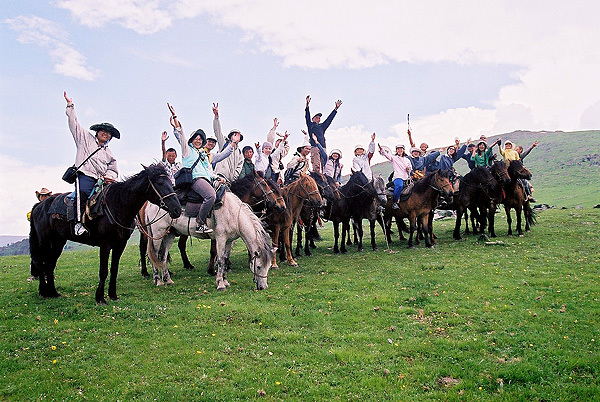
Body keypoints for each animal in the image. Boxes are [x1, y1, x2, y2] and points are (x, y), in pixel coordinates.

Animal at [30, 165, 180, 304]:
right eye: (160, 183)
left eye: (170, 182)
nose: (177, 210)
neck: (118, 205)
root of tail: (39, 206)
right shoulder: (105, 245)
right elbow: (103, 271)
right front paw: (100, 298)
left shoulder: (120, 245)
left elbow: (114, 269)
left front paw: (113, 295)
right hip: (44, 242)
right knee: (41, 263)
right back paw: (43, 292)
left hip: (58, 242)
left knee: (50, 264)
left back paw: (53, 292)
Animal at [144, 190, 276, 290]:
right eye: (258, 266)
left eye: (268, 267)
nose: (263, 287)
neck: (233, 213)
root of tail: (149, 204)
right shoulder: (221, 238)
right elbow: (221, 260)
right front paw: (220, 284)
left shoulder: (229, 240)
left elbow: (226, 259)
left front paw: (225, 281)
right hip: (158, 234)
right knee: (154, 255)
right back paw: (158, 281)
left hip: (169, 235)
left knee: (162, 257)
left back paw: (168, 280)